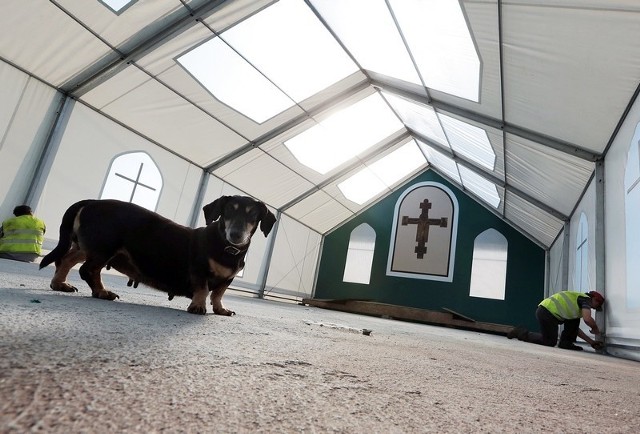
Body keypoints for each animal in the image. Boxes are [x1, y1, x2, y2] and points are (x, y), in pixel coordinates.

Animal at [40, 197, 276, 316]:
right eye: (228, 210)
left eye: (253, 214)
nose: (236, 235)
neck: (225, 248)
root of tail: (90, 202)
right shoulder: (199, 270)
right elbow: (203, 289)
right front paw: (198, 307)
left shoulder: (228, 279)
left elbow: (218, 294)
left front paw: (220, 309)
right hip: (105, 248)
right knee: (87, 270)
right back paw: (102, 292)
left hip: (88, 247)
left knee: (67, 260)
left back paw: (60, 284)